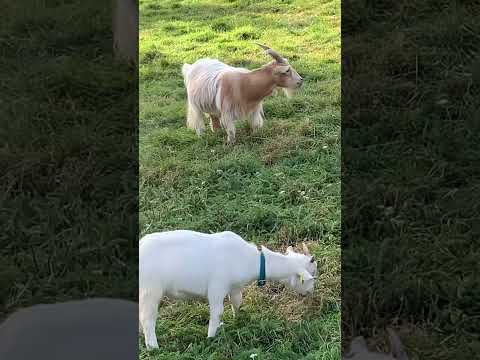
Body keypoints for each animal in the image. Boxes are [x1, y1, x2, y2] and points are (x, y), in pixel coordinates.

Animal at [139, 231, 318, 348]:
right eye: (312, 274)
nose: (310, 293)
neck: (250, 259)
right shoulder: (217, 287)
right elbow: (217, 312)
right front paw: (211, 337)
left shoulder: (235, 287)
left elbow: (237, 302)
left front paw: (236, 320)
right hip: (150, 290)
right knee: (147, 319)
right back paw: (153, 347)